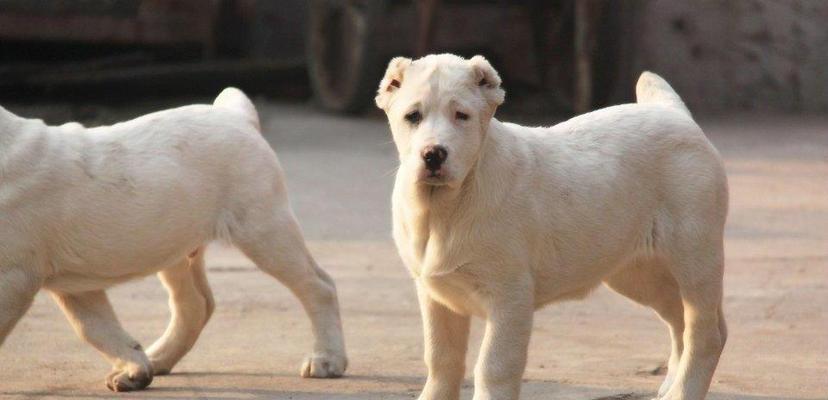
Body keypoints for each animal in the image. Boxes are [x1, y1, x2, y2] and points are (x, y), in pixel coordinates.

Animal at [0, 89, 346, 392]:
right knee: (194, 305)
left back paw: (327, 360)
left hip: (263, 228)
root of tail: (235, 115)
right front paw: (136, 368)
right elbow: (94, 326)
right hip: (174, 248)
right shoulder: (73, 286)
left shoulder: (14, 277)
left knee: (318, 286)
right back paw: (158, 358)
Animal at [378, 54, 728, 400]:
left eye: (461, 116)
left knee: (705, 334)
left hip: (695, 257)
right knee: (686, 324)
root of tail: (675, 113)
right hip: (640, 273)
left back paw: (684, 391)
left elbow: (494, 366)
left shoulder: (510, 296)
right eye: (413, 116)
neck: (443, 209)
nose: (434, 154)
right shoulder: (435, 295)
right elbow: (441, 359)